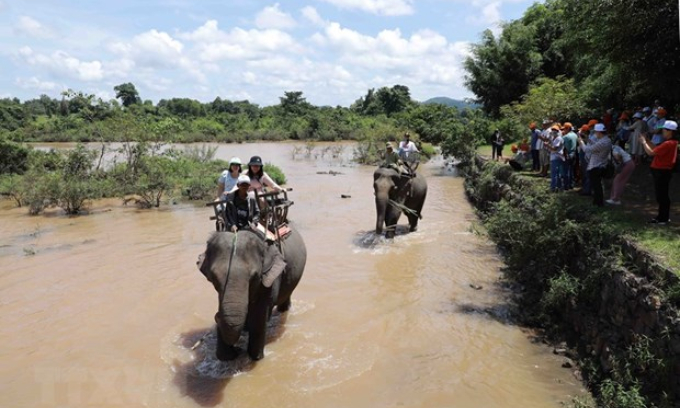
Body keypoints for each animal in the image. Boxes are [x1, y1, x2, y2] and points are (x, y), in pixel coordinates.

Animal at [195, 228, 304, 362]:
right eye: (214, 278)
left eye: (254, 277)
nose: (238, 349)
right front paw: (230, 355)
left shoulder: (270, 277)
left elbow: (259, 318)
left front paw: (255, 357)